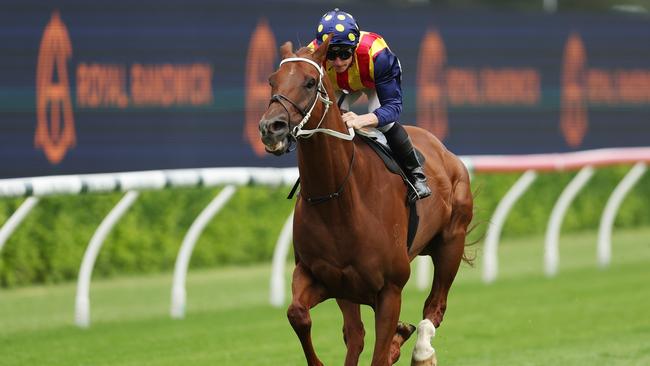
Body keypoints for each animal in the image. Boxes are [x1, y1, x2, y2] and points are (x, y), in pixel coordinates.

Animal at [256, 38, 470, 366]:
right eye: (272, 81)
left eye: (309, 82)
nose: (272, 128)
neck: (338, 200)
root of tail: (445, 151)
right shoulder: (323, 277)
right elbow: (298, 314)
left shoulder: (390, 290)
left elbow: (378, 354)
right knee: (355, 334)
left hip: (451, 243)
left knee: (435, 306)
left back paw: (422, 351)